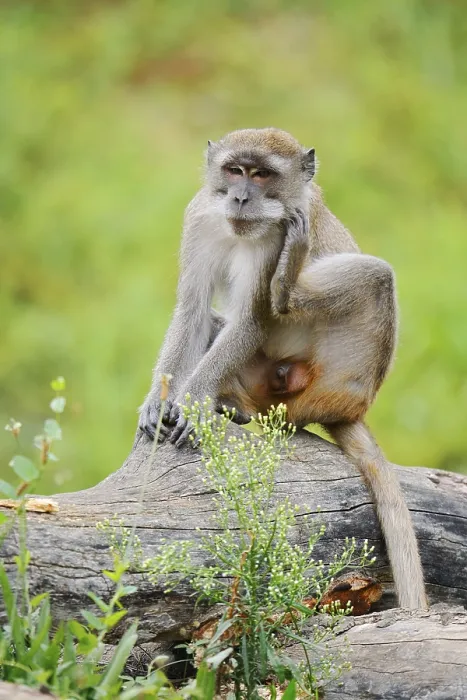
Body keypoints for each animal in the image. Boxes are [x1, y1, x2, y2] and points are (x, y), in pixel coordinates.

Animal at [137, 128, 427, 610]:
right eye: (235, 170)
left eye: (262, 175)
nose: (239, 198)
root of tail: (351, 406)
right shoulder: (199, 217)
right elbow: (192, 311)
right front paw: (157, 404)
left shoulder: (279, 232)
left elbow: (252, 321)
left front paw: (192, 402)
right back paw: (233, 403)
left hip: (339, 375)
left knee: (377, 276)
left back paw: (287, 290)